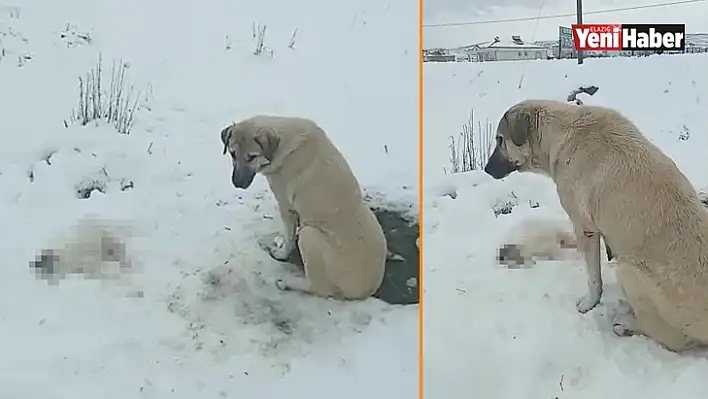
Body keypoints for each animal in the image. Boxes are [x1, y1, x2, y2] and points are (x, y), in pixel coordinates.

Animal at [221, 115, 388, 300]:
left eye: (252, 157)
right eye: (232, 153)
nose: (237, 183)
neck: (283, 145)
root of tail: (367, 290)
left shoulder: (287, 207)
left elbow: (288, 238)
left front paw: (281, 254)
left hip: (309, 234)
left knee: (318, 287)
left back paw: (287, 283)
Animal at [484, 99, 708, 350]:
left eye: (500, 140)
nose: (486, 169)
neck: (559, 134)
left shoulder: (585, 227)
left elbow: (593, 278)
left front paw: (588, 303)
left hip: (628, 270)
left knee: (672, 338)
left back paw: (626, 324)